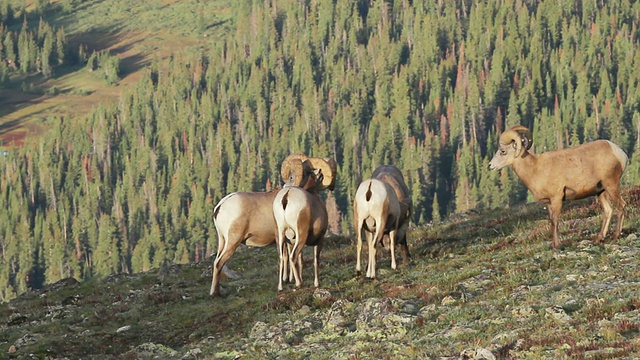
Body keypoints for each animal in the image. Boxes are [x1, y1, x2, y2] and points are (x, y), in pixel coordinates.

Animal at [210, 153, 320, 296]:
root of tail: (220, 206)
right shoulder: (282, 237)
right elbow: (286, 256)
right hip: (232, 241)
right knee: (219, 263)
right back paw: (215, 293)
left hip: (222, 240)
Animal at [272, 156, 338, 292]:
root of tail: (287, 196)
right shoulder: (319, 239)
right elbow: (315, 260)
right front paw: (317, 284)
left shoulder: (291, 240)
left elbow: (301, 261)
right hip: (301, 235)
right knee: (292, 256)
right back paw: (298, 284)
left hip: (280, 234)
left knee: (282, 257)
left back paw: (281, 287)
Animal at [488, 124, 628, 248]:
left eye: (503, 151)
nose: (490, 166)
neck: (535, 170)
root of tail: (619, 152)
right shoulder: (549, 203)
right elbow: (551, 221)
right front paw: (553, 245)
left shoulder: (557, 198)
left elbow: (555, 220)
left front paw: (557, 245)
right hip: (601, 191)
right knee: (608, 210)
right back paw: (598, 239)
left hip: (611, 185)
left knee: (621, 206)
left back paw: (615, 236)